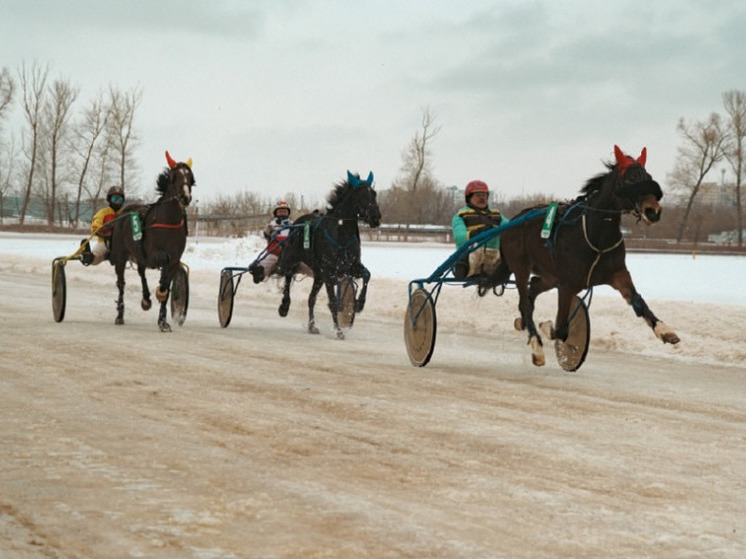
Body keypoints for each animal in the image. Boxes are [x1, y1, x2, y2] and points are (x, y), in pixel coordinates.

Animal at [109, 151, 195, 330]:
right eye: (174, 177)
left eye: (190, 177)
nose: (185, 197)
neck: (169, 222)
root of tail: (124, 212)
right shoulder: (156, 254)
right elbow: (163, 266)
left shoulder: (175, 260)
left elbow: (166, 288)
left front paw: (163, 321)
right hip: (121, 255)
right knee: (121, 284)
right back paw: (120, 315)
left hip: (139, 254)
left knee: (141, 272)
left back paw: (146, 299)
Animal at [276, 171, 384, 340]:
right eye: (361, 195)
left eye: (374, 193)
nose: (375, 217)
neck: (341, 234)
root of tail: (298, 221)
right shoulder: (328, 272)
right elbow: (333, 301)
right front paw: (338, 331)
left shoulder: (351, 266)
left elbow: (367, 275)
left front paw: (359, 303)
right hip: (292, 258)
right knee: (288, 276)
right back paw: (284, 306)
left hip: (318, 275)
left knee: (311, 298)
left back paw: (312, 326)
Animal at [492, 145, 676, 368]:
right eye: (630, 179)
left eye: (648, 177)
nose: (652, 211)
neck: (598, 236)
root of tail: (514, 220)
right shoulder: (568, 284)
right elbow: (561, 329)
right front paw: (547, 328)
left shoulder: (618, 273)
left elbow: (638, 302)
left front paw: (665, 330)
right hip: (521, 267)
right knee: (526, 302)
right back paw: (536, 345)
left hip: (549, 276)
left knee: (532, 289)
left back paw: (523, 323)